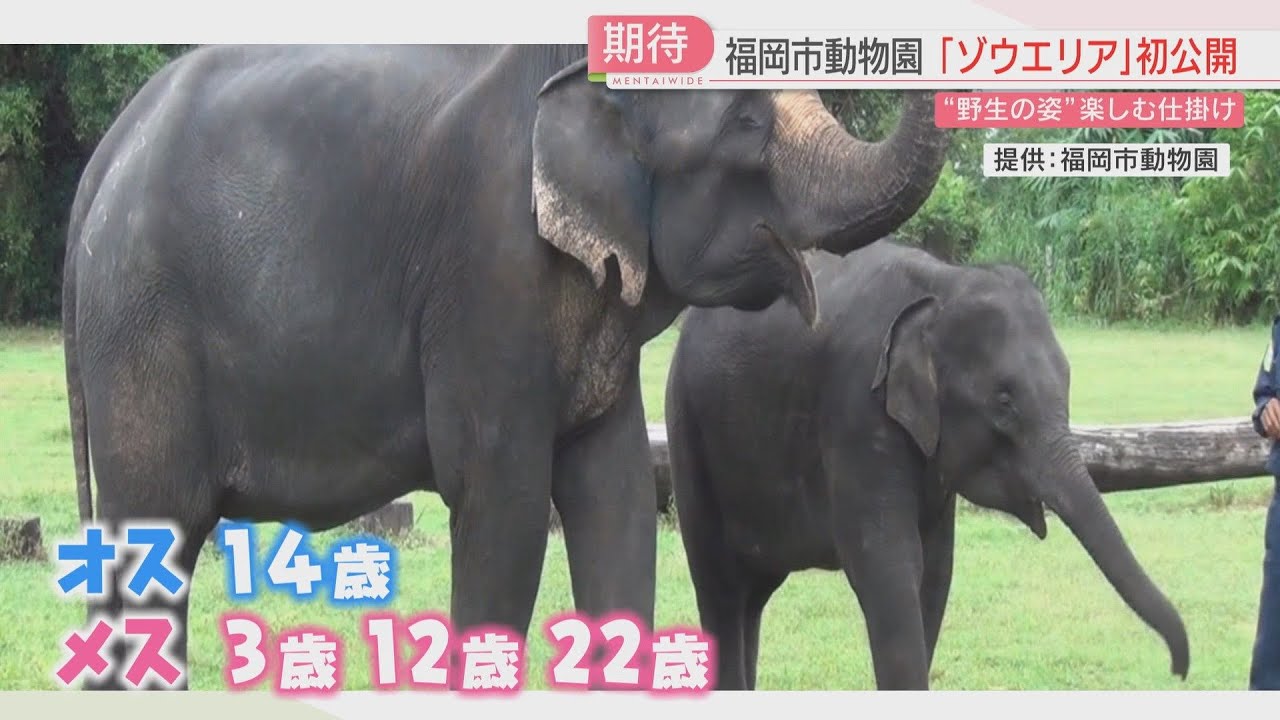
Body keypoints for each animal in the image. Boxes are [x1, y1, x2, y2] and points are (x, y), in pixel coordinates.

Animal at [60, 44, 950, 689]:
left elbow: (617, 501)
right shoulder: (489, 273)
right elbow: (504, 505)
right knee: (153, 537)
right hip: (142, 333)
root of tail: (104, 159)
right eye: (743, 120)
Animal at [664, 240, 1190, 690]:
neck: (943, 285)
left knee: (750, 596)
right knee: (720, 584)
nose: (1179, 669)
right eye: (1005, 402)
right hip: (686, 426)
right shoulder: (856, 411)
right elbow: (888, 564)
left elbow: (935, 571)